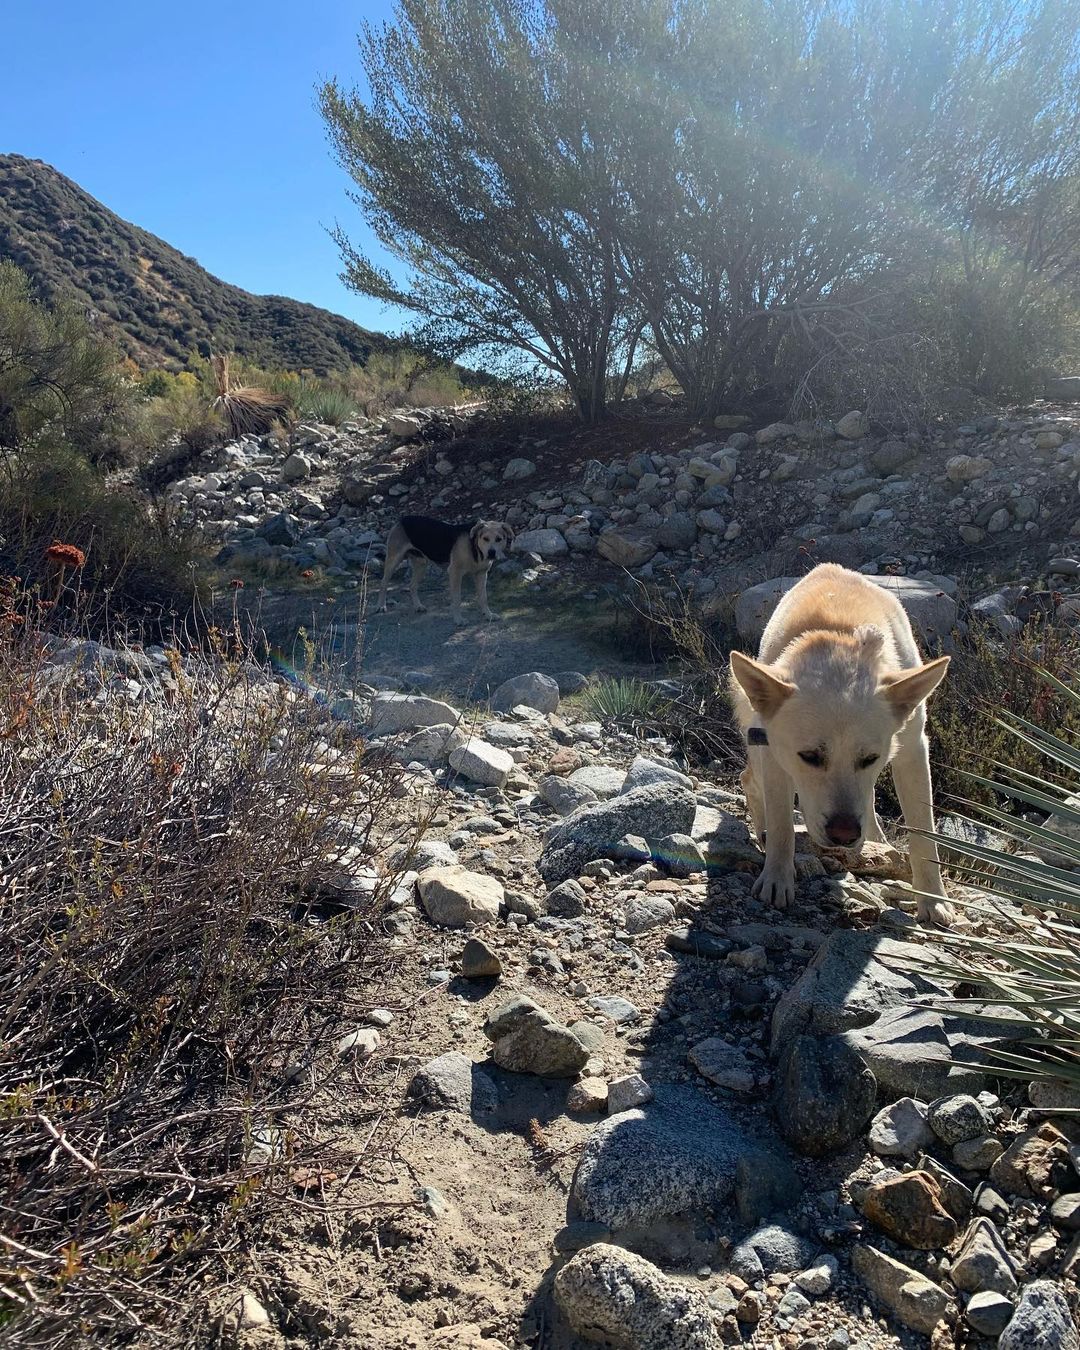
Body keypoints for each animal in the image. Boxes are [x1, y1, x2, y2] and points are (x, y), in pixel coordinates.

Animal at [729, 561, 950, 928]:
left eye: (870, 758)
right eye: (809, 756)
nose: (844, 834)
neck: (840, 639)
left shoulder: (912, 751)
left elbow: (923, 832)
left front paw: (933, 900)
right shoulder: (777, 757)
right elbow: (781, 823)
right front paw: (777, 878)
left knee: (869, 800)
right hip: (761, 748)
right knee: (750, 782)